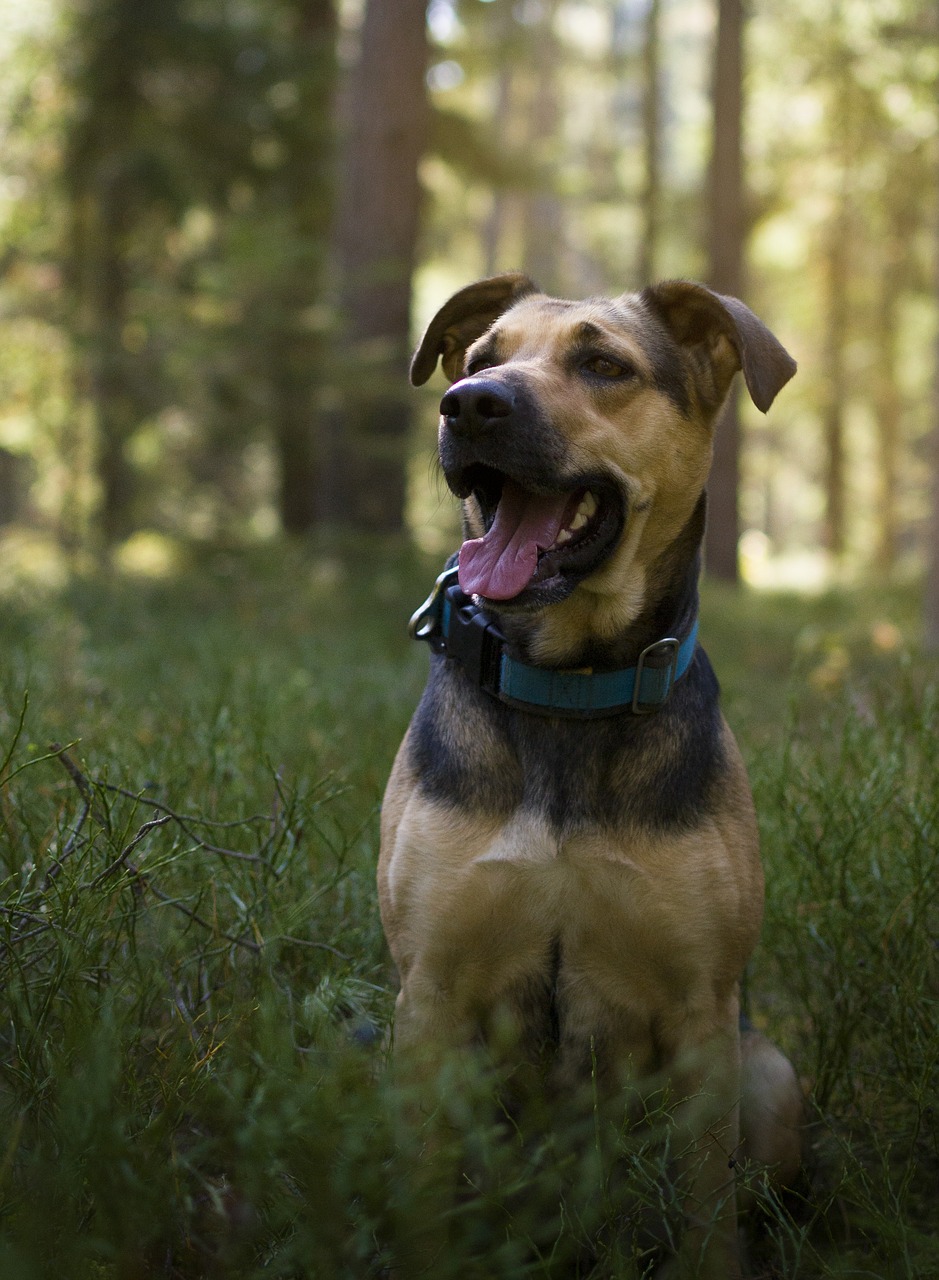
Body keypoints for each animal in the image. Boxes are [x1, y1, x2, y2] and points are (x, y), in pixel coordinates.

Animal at [378, 277, 803, 1280]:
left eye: (603, 364)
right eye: (479, 357)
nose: (470, 406)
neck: (566, 690)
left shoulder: (701, 1012)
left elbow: (705, 1213)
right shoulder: (429, 996)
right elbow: (421, 1198)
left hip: (768, 1072)